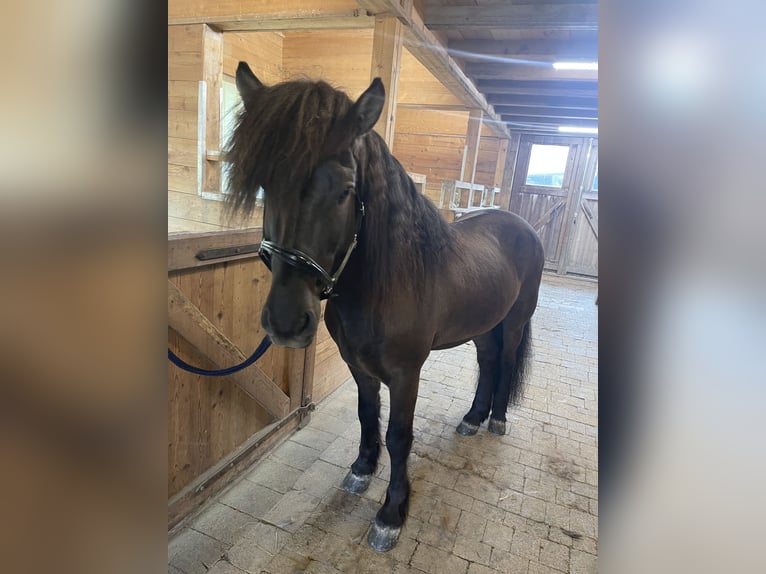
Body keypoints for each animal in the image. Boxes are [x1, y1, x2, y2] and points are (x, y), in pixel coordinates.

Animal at [226, 62, 544, 552]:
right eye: (264, 184)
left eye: (345, 189)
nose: (286, 322)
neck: (387, 283)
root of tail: (521, 225)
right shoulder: (358, 365)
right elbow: (366, 414)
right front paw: (361, 470)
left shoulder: (405, 373)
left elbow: (399, 436)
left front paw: (391, 513)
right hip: (480, 326)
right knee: (489, 361)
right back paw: (472, 418)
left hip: (514, 320)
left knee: (506, 360)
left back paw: (496, 420)